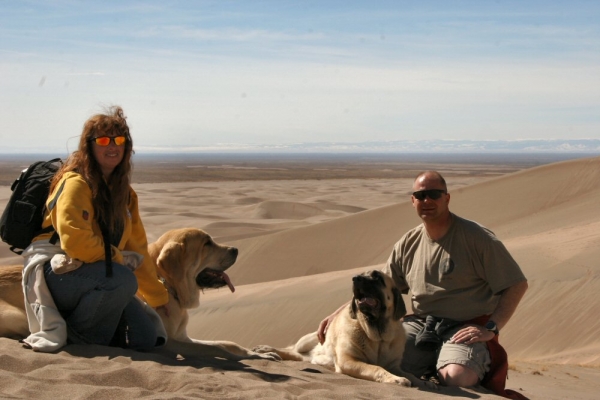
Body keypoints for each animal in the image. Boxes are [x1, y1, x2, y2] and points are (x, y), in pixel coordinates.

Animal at [0, 228, 278, 362]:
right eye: (207, 243)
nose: (236, 249)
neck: (168, 286)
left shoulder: (182, 336)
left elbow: (227, 344)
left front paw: (260, 353)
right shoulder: (170, 343)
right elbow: (219, 350)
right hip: (20, 316)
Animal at [254, 268, 436, 388]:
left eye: (377, 277)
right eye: (361, 275)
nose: (355, 278)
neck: (377, 335)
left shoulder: (395, 366)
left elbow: (409, 373)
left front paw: (423, 382)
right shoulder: (348, 360)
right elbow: (376, 367)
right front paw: (395, 379)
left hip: (305, 355)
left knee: (293, 354)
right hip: (306, 341)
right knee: (290, 349)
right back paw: (265, 349)